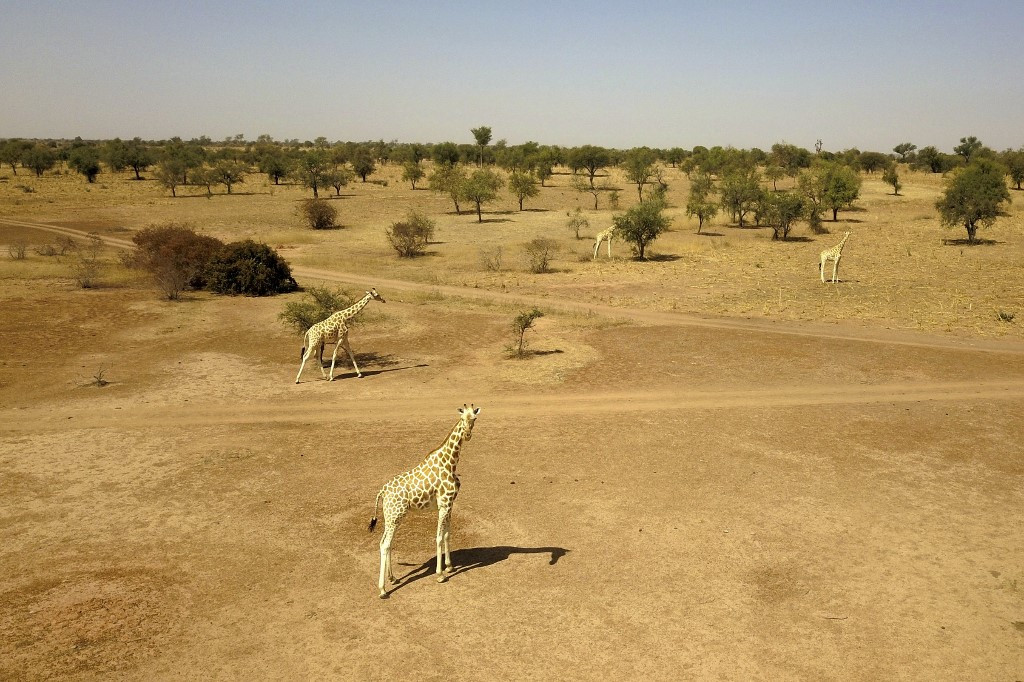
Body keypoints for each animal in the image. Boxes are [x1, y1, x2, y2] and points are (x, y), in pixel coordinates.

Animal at [369, 405, 480, 598]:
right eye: (462, 418)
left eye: (473, 419)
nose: (467, 434)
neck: (450, 463)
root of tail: (382, 491)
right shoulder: (444, 504)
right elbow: (438, 537)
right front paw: (440, 575)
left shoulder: (450, 504)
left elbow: (447, 534)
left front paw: (450, 567)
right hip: (395, 516)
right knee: (385, 544)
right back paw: (382, 590)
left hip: (392, 517)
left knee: (386, 543)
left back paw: (393, 578)